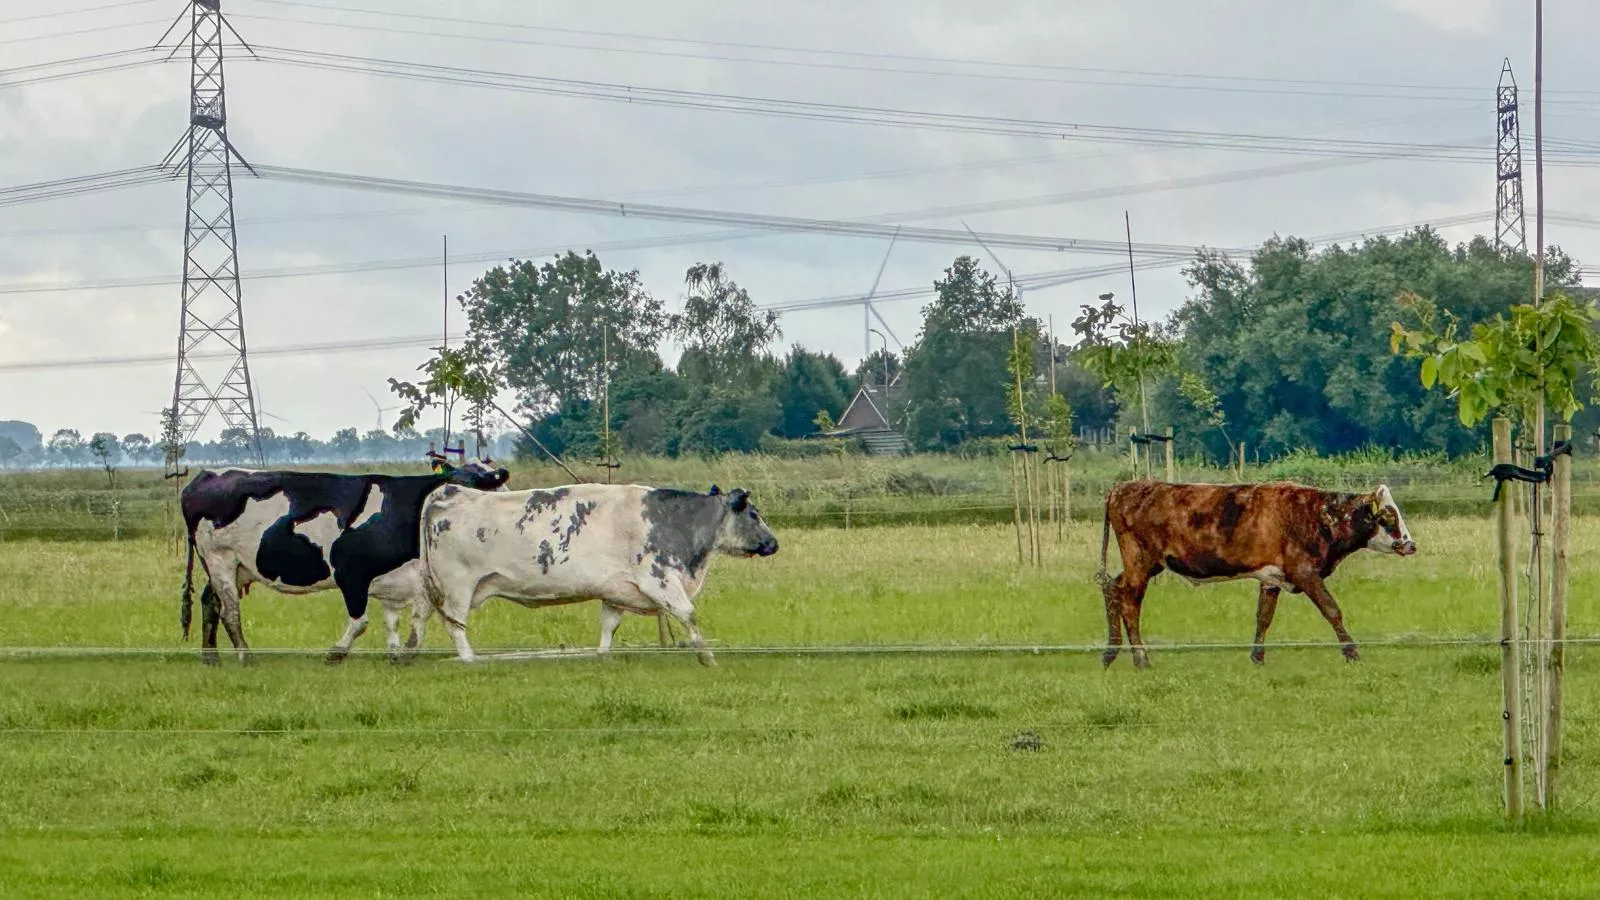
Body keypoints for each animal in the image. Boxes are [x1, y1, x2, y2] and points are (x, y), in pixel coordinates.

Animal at [184, 458, 515, 662]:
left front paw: (398, 653)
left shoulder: (409, 579)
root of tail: (207, 475)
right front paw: (337, 652)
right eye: (463, 484)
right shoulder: (351, 572)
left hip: (236, 567)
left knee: (209, 602)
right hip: (220, 559)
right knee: (230, 611)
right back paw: (245, 656)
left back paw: (211, 658)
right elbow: (361, 621)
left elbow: (406, 619)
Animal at [412, 480, 780, 662]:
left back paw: (409, 653)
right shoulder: (660, 581)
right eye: (754, 515)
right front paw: (708, 658)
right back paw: (468, 658)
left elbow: (608, 628)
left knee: (420, 617)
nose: (773, 543)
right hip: (459, 586)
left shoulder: (616, 591)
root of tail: (451, 491)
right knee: (455, 624)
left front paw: (601, 658)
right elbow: (691, 616)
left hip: (433, 586)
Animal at [1100, 477, 1414, 666]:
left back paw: (1111, 652)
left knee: (1112, 588)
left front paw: (1257, 656)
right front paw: (1351, 652)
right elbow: (1332, 609)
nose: (1410, 545)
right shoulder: (1304, 573)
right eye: (1387, 516)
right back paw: (1140, 658)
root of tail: (1123, 488)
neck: (1316, 515)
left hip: (1148, 563)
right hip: (1139, 559)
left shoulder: (1270, 577)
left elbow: (1264, 616)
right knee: (1129, 600)